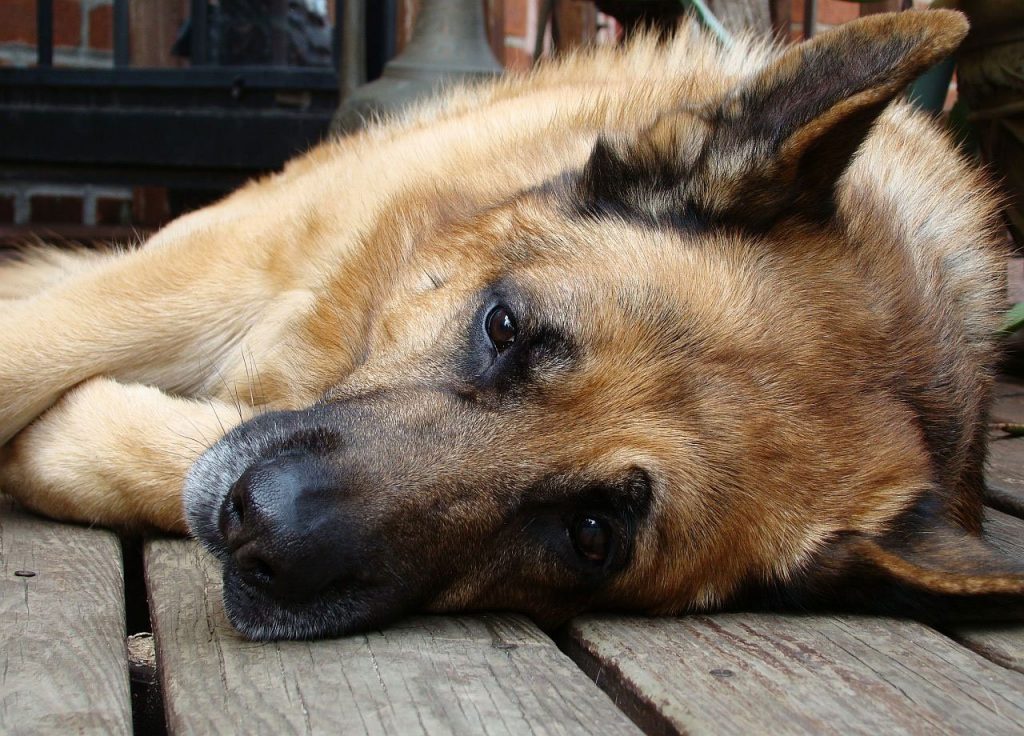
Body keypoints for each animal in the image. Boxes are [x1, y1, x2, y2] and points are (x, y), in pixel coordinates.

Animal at [2, 10, 1024, 638]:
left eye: (591, 535)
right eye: (502, 327)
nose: (262, 535)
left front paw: (71, 444)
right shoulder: (229, 265)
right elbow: (32, 350)